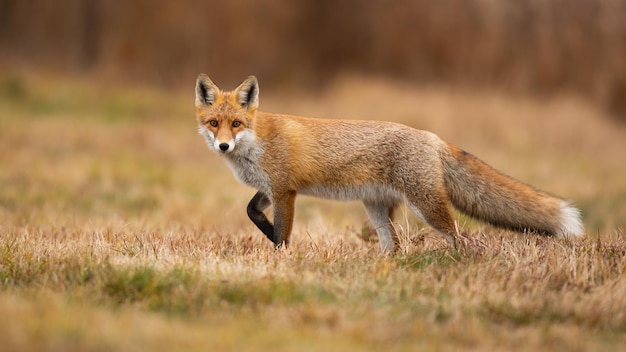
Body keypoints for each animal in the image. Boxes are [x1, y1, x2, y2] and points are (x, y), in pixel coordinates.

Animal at [193, 74, 584, 250]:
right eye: (214, 123)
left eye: (236, 124)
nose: (224, 145)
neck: (255, 143)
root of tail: (431, 136)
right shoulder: (269, 188)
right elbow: (251, 212)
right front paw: (265, 232)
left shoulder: (285, 191)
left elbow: (282, 233)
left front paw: (281, 256)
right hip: (378, 209)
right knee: (394, 245)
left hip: (427, 206)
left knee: (459, 237)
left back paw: (460, 261)